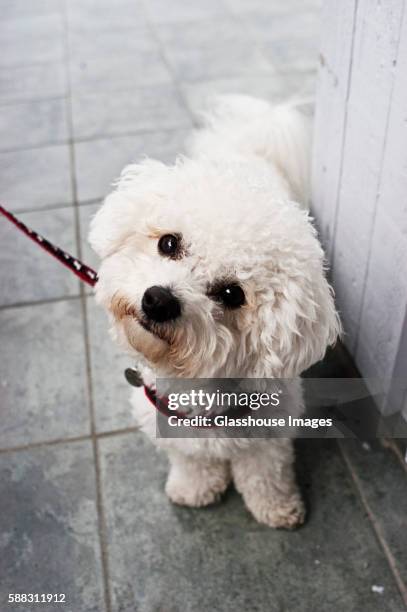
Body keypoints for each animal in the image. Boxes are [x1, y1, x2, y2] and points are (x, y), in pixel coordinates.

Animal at [89, 97, 342, 532]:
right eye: (169, 243)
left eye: (231, 294)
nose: (158, 300)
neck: (196, 385)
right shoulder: (171, 427)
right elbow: (192, 461)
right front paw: (193, 489)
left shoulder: (270, 434)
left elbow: (266, 474)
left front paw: (277, 508)